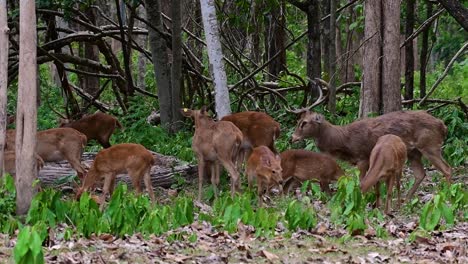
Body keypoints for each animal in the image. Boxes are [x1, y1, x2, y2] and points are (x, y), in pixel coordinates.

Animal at [292, 110, 450, 200]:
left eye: (304, 123)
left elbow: (362, 180)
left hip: (430, 145)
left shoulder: (362, 157)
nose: (292, 137)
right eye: (298, 121)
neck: (344, 140)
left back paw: (448, 196)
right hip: (414, 152)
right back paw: (406, 199)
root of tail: (443, 125)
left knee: (447, 169)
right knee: (420, 174)